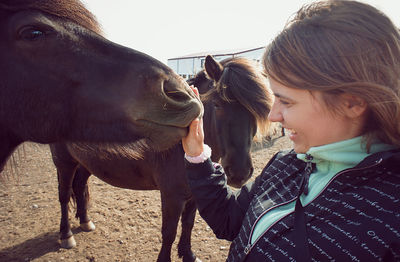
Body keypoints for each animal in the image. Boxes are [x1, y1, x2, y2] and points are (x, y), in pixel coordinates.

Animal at [48, 54, 270, 260]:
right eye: (217, 104)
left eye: (259, 110)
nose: (239, 172)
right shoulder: (172, 196)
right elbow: (169, 232)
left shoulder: (194, 195)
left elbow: (188, 224)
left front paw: (188, 254)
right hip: (64, 163)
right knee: (64, 195)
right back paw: (66, 235)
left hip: (85, 164)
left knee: (79, 186)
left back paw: (85, 221)